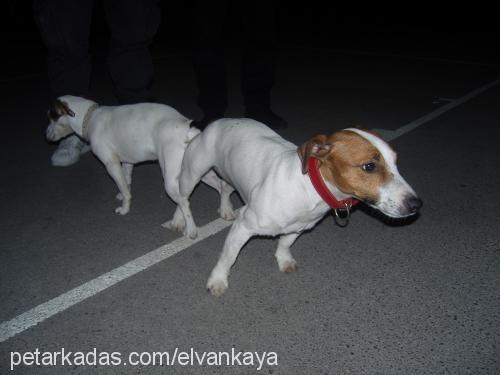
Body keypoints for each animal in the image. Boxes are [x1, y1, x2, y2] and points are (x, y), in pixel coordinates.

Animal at [46, 95, 235, 232]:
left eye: (51, 117)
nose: (45, 136)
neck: (90, 117)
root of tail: (187, 127)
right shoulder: (127, 162)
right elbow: (126, 181)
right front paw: (123, 194)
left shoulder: (111, 164)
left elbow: (123, 188)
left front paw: (124, 208)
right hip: (197, 171)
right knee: (221, 186)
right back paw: (225, 210)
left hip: (172, 178)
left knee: (184, 201)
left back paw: (190, 230)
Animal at [177, 120, 422, 296]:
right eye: (369, 166)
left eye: (396, 161)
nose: (416, 204)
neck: (309, 187)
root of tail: (212, 125)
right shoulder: (243, 227)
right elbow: (228, 257)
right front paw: (218, 280)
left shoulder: (299, 226)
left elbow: (285, 243)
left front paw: (283, 259)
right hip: (191, 175)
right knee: (183, 199)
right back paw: (185, 223)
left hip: (227, 174)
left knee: (225, 189)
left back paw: (226, 209)